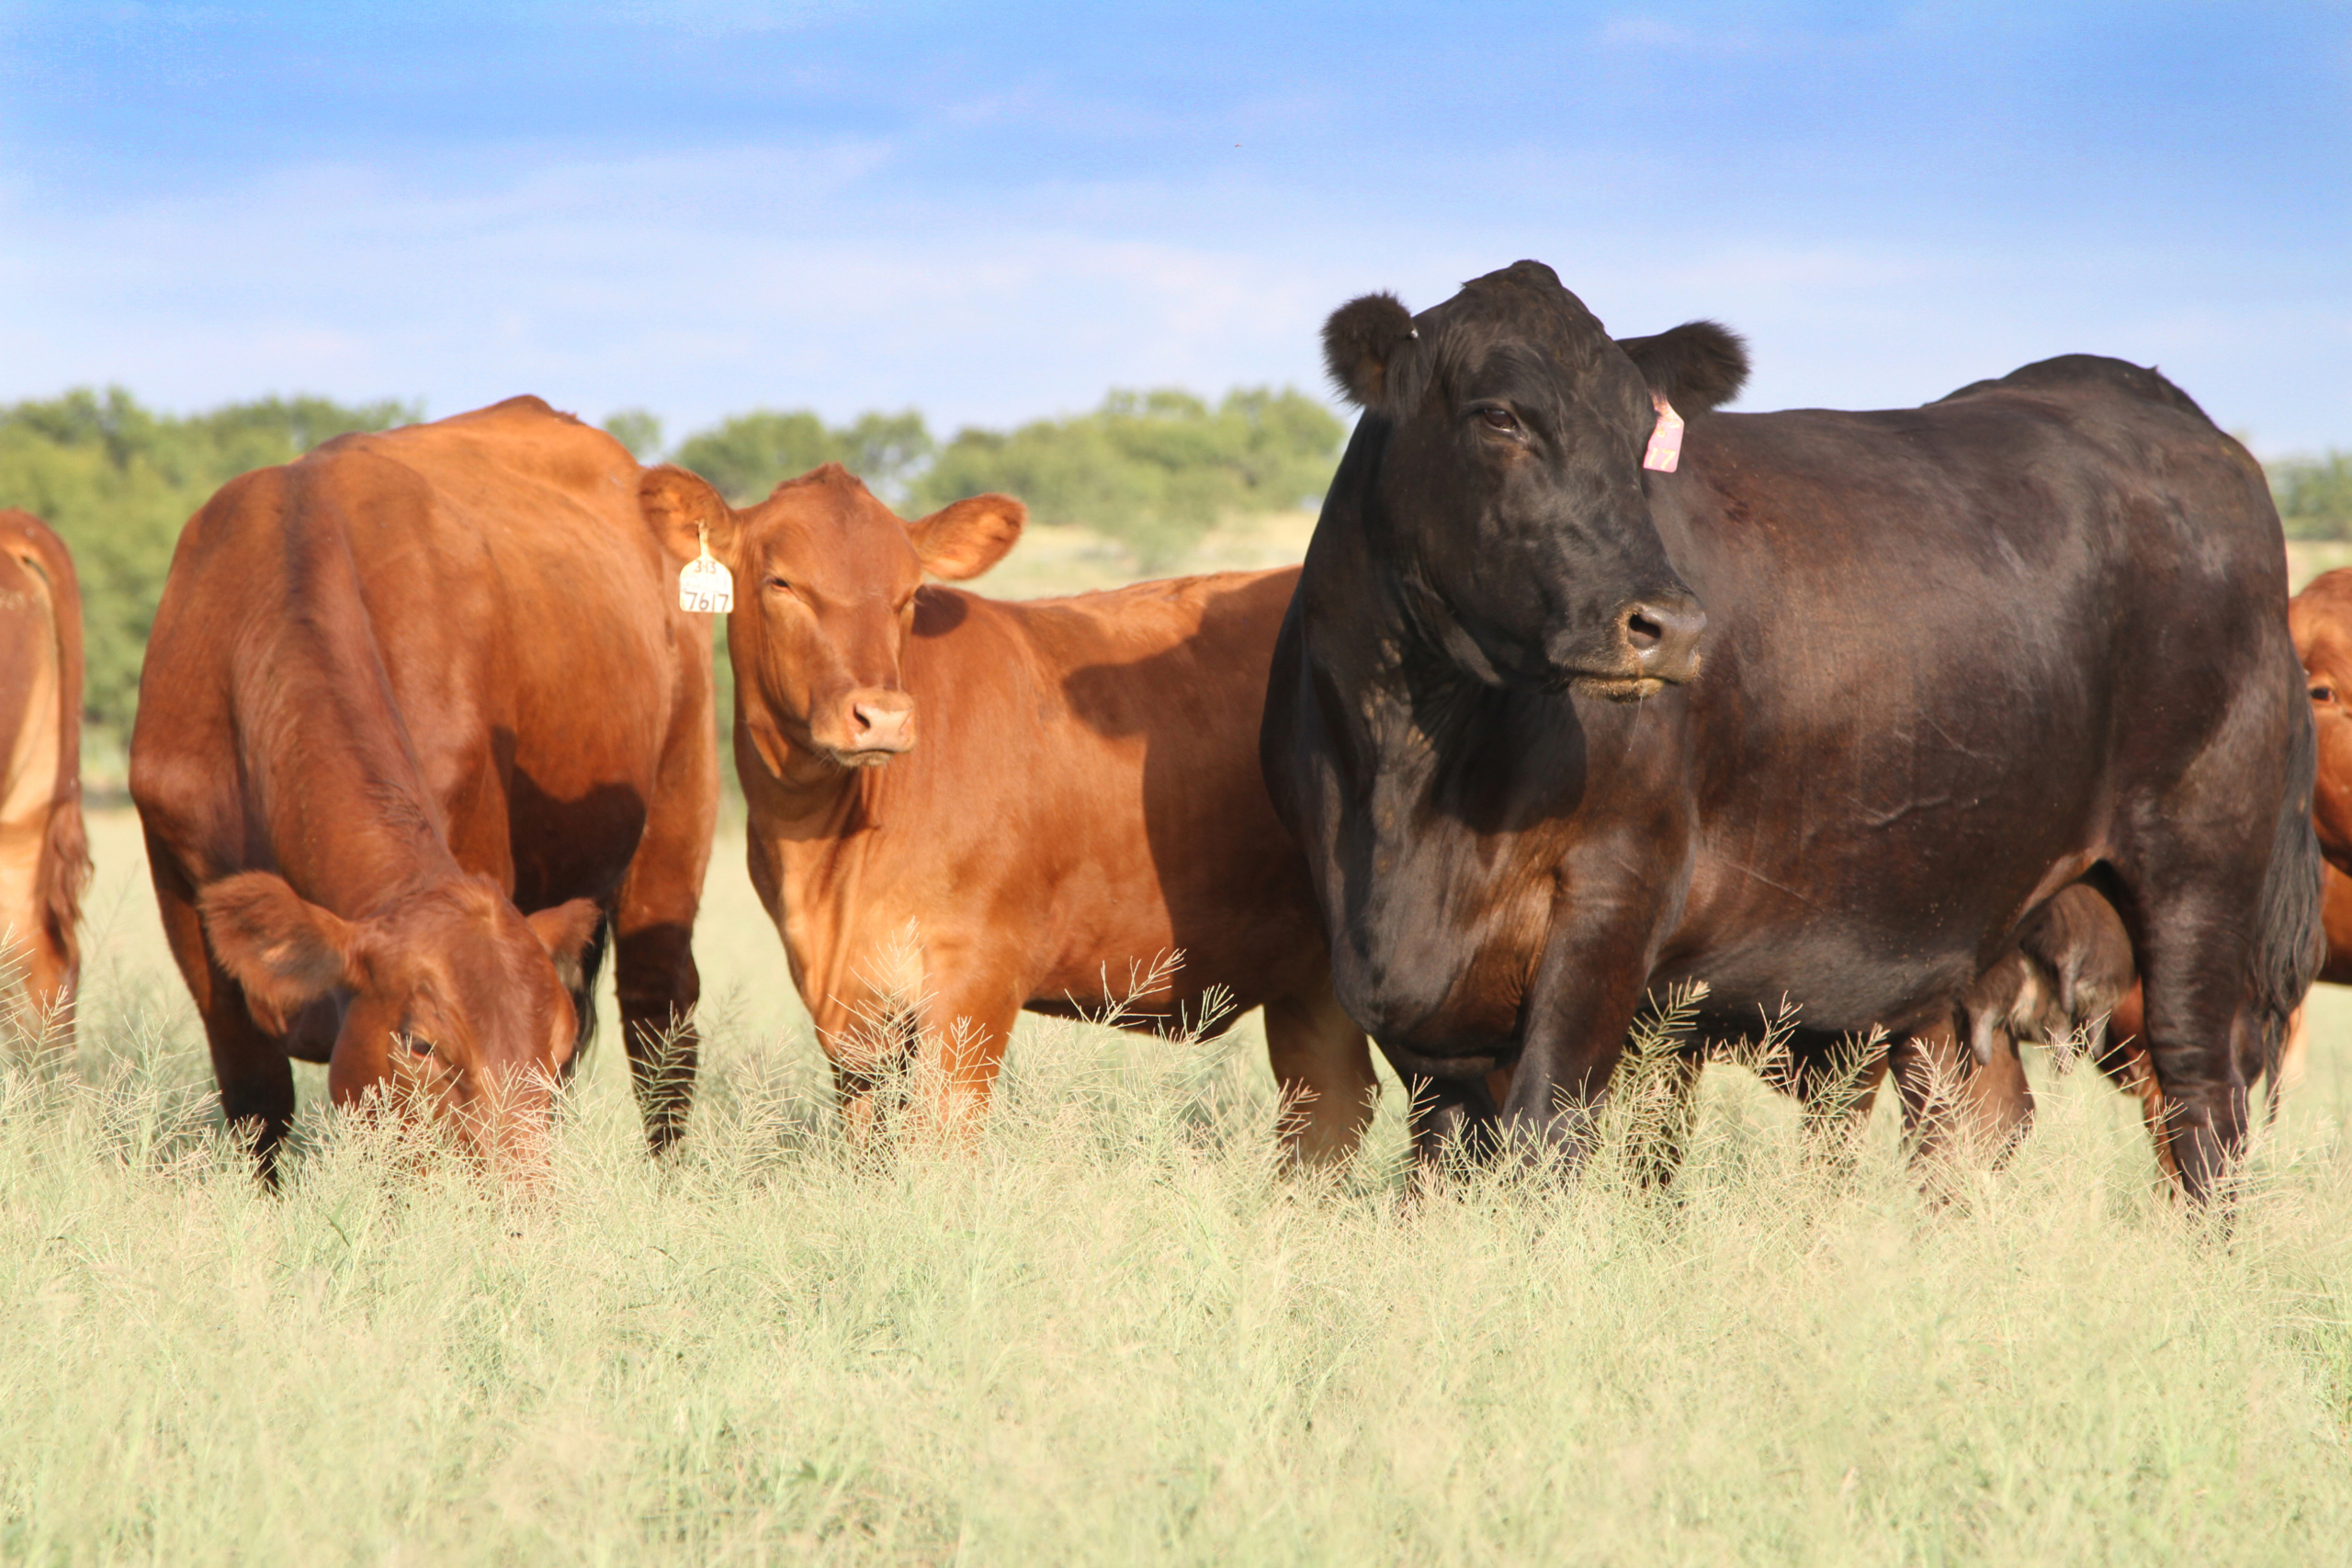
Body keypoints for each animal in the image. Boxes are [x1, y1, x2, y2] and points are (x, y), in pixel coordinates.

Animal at [131, 397, 718, 1180]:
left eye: (550, 1042)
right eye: (419, 1042)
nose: (521, 1194)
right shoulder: (181, 888)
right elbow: (257, 1098)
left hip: (676, 818)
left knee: (661, 1025)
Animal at [636, 462, 1376, 1160]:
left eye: (910, 594)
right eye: (781, 582)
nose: (883, 715)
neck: (822, 856)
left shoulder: (977, 974)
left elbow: (942, 1134)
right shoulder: (856, 1008)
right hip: (1311, 977)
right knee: (1328, 1105)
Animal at [1261, 259, 2319, 1203]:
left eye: (1644, 437)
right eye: (1498, 416)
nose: (1670, 624)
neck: (1414, 780)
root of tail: (2163, 407)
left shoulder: (1614, 898)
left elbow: (1541, 1142)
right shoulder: (1397, 979)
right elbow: (1440, 1162)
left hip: (2199, 869)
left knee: (2199, 1099)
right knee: (1972, 1121)